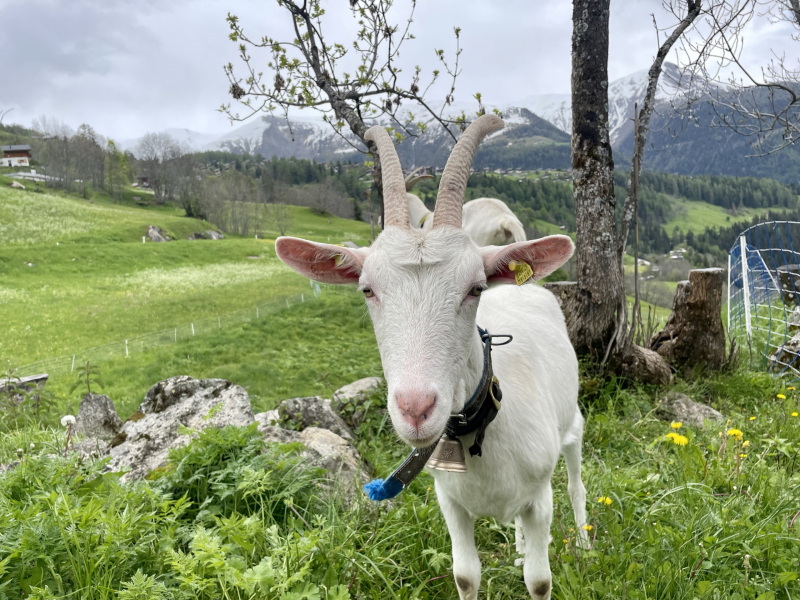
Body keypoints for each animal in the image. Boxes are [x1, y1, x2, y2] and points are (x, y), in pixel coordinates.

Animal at [275, 115, 587, 600]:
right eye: (367, 289)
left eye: (475, 287)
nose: (416, 409)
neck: (483, 427)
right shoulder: (451, 501)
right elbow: (465, 575)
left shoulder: (540, 498)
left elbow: (539, 581)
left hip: (571, 425)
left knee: (575, 481)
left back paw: (587, 542)